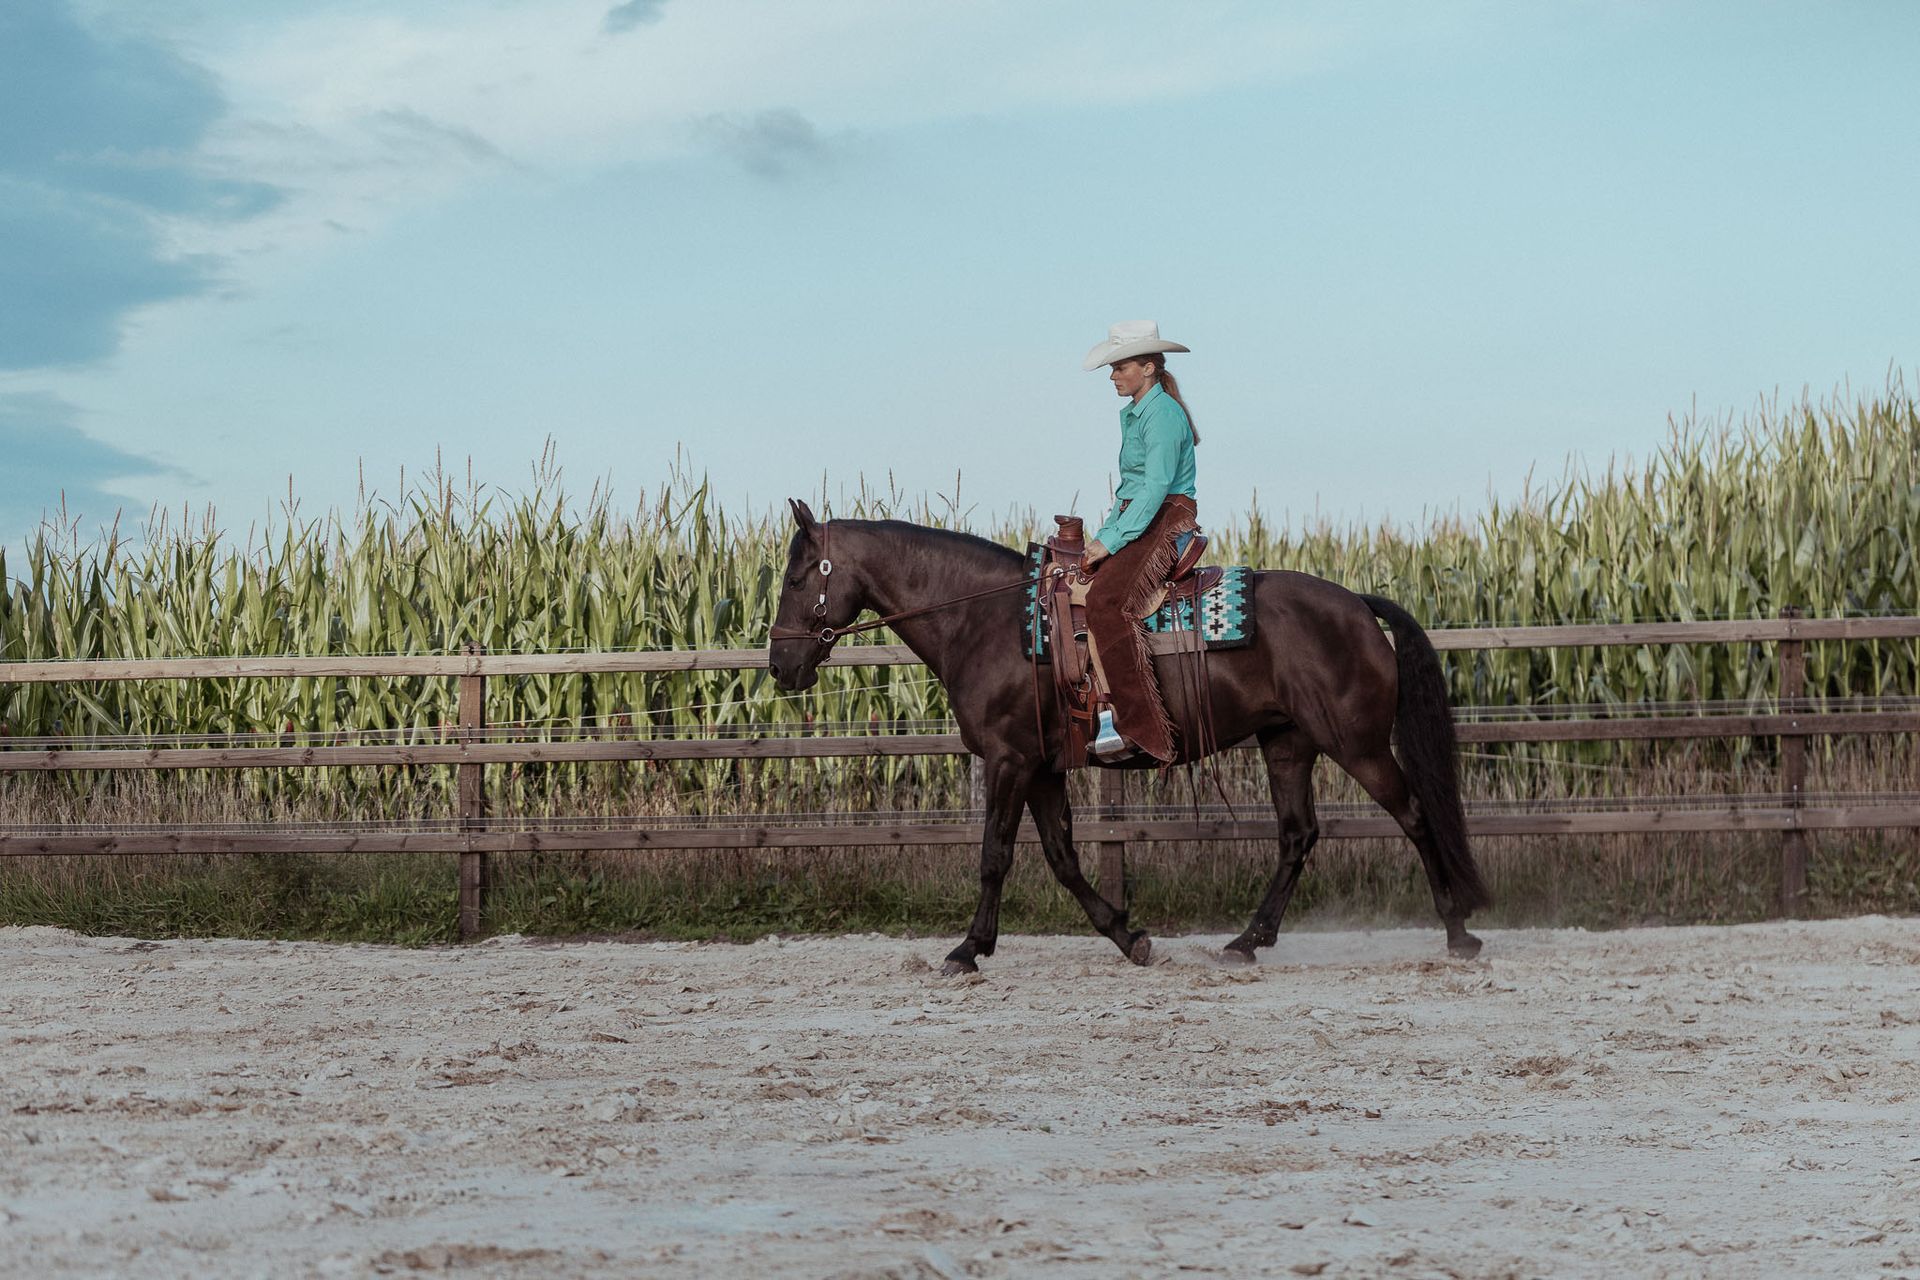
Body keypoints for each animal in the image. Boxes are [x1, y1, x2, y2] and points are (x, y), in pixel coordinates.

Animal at [767, 500, 1490, 975]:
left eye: (797, 578)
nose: (779, 666)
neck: (988, 621)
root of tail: (1358, 605)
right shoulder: (1041, 767)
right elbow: (1062, 858)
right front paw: (1125, 935)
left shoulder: (1008, 761)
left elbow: (995, 856)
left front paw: (967, 950)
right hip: (1288, 743)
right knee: (1297, 836)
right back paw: (1247, 941)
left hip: (1358, 744)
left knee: (1414, 814)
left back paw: (1458, 932)